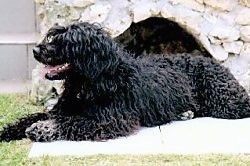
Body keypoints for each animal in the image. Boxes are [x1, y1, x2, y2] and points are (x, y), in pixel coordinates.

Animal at [0, 21, 250, 141]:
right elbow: (32, 117)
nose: (35, 50)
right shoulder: (62, 109)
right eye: (53, 36)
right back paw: (185, 113)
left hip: (227, 102)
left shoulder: (110, 119)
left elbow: (71, 122)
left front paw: (43, 129)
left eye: (66, 41)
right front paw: (6, 132)